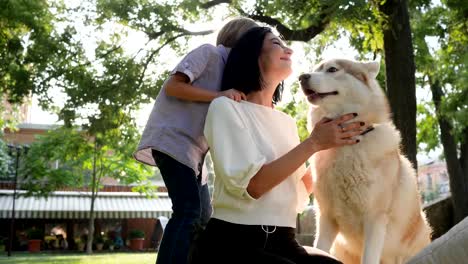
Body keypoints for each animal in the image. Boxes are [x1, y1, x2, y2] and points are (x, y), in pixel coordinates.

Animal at [300, 59, 432, 264]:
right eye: (314, 69)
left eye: (332, 69)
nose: (301, 77)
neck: (347, 146)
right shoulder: (326, 218)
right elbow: (319, 248)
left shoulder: (375, 219)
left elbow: (369, 257)